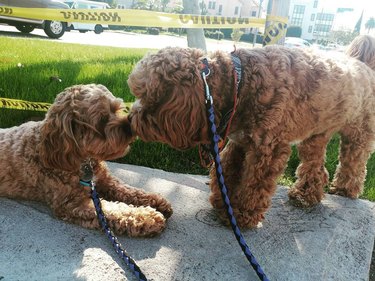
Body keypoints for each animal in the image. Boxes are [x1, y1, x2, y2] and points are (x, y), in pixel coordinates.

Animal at [0, 83, 173, 236]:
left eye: (116, 109)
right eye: (102, 120)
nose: (129, 128)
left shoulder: (106, 180)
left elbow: (129, 190)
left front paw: (155, 200)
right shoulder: (73, 204)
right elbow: (113, 210)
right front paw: (147, 218)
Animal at [129, 35, 375, 228]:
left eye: (148, 98)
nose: (130, 120)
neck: (240, 81)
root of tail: (362, 64)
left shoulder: (266, 148)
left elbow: (254, 184)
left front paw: (241, 215)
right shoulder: (239, 142)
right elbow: (228, 171)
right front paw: (223, 204)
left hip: (358, 132)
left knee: (354, 161)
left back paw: (345, 189)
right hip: (316, 135)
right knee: (315, 165)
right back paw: (306, 194)